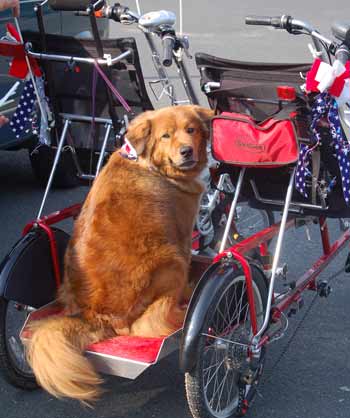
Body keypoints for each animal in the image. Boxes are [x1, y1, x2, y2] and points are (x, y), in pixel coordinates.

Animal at [26, 104, 213, 402]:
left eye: (191, 130)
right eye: (165, 135)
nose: (186, 151)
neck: (150, 164)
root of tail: (94, 315)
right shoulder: (182, 235)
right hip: (170, 260)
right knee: (148, 321)